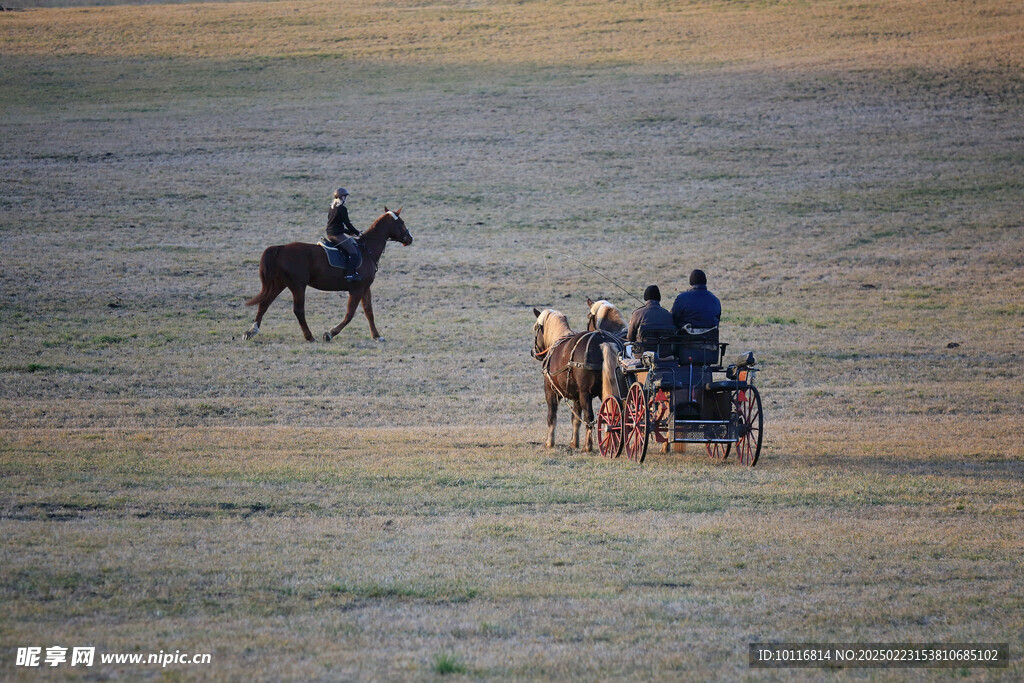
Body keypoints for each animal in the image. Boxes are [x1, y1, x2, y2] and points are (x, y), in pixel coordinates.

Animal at [243, 206, 411, 342]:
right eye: (402, 223)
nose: (410, 239)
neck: (366, 249)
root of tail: (281, 248)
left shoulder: (365, 288)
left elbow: (369, 311)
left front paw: (376, 336)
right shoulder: (356, 290)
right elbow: (350, 314)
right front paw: (330, 333)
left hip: (279, 284)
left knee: (264, 304)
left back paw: (251, 332)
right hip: (298, 286)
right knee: (298, 310)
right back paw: (309, 337)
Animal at [536, 309, 614, 448]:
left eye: (536, 328)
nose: (534, 351)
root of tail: (601, 341)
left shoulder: (550, 391)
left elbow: (551, 416)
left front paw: (549, 442)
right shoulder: (576, 396)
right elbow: (576, 419)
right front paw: (574, 442)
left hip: (585, 394)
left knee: (589, 417)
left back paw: (588, 446)